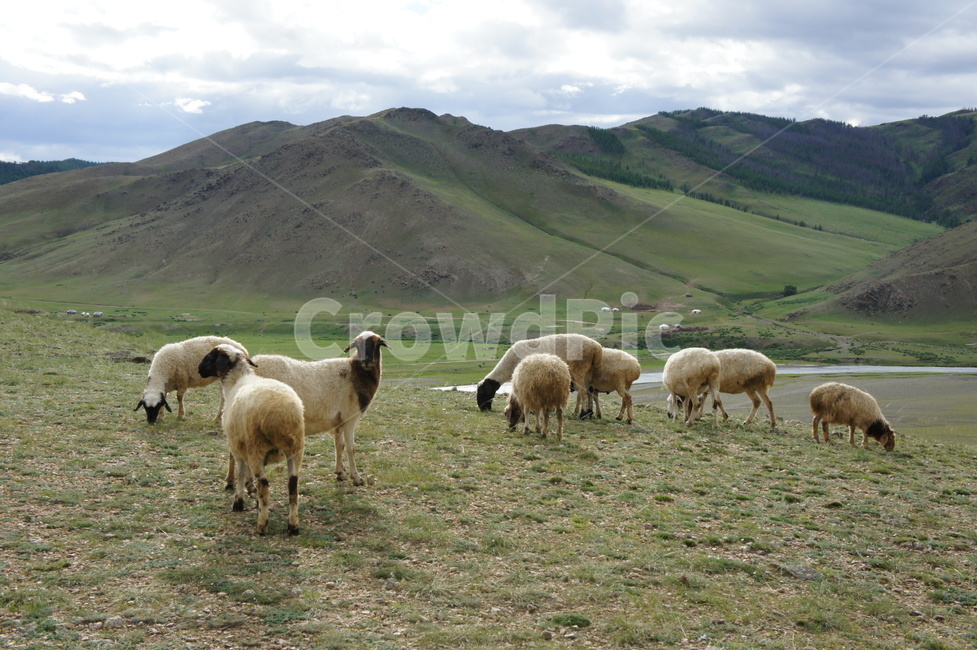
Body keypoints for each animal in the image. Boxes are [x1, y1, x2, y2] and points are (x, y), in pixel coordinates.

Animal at [198, 344, 305, 535]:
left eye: (210, 356)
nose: (198, 369)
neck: (234, 382)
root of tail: (283, 413)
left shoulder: (237, 445)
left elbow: (240, 472)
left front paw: (239, 502)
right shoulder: (245, 446)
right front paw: (255, 501)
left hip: (257, 447)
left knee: (265, 485)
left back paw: (262, 525)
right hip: (295, 449)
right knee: (293, 486)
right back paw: (293, 526)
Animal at [225, 330, 387, 489]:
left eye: (376, 343)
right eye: (357, 344)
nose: (367, 362)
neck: (356, 373)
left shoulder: (338, 421)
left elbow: (339, 446)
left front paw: (340, 473)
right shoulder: (350, 417)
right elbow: (351, 448)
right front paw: (357, 478)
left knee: (235, 451)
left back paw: (231, 481)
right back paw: (247, 484)